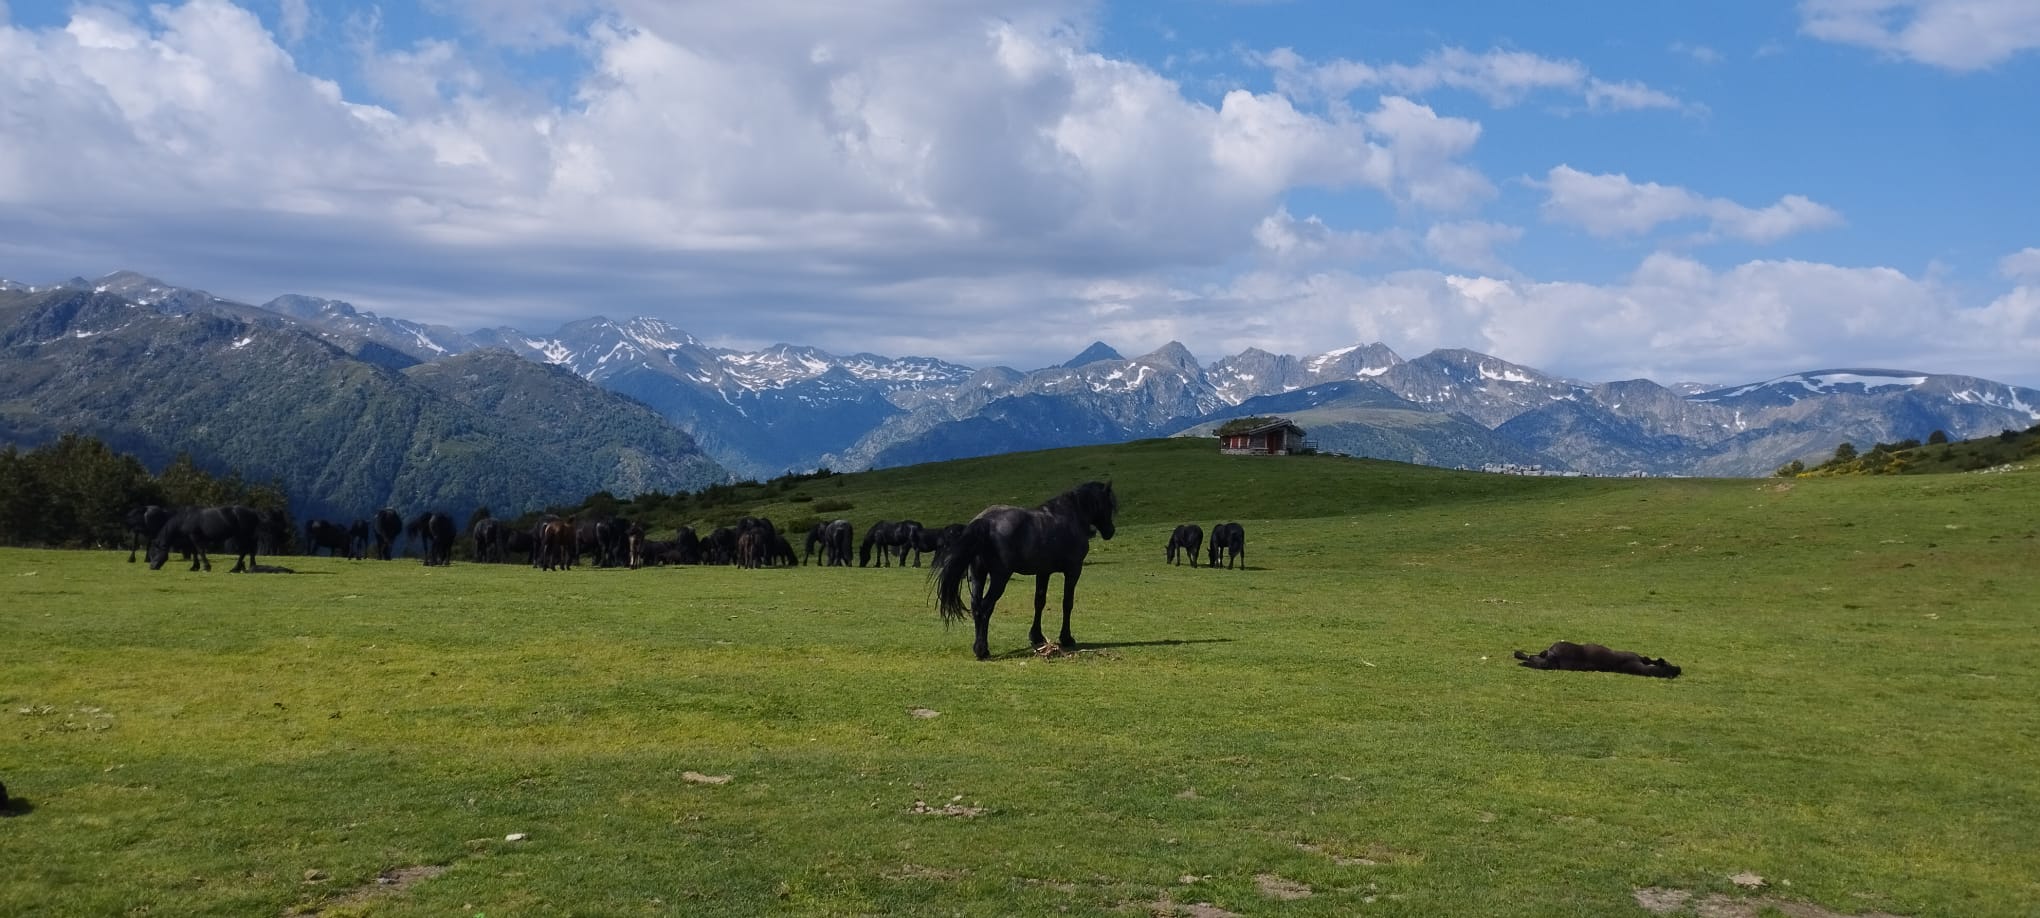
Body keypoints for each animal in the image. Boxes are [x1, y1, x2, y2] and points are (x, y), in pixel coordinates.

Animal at [934, 481, 1118, 661]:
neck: (1070, 516)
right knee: (985, 607)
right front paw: (1066, 638)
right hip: (1000, 578)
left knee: (976, 606)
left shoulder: (1043, 572)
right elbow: (1067, 603)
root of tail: (985, 521)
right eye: (1108, 504)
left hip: (978, 575)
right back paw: (982, 650)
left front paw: (1036, 636)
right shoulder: (1073, 570)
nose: (1111, 531)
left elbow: (1039, 601)